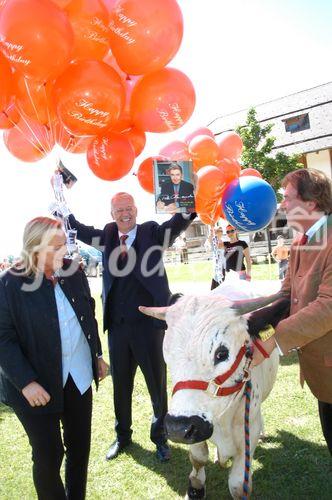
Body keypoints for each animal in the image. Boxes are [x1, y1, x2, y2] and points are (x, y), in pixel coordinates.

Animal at [140, 282, 282, 500]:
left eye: (221, 353)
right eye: (167, 353)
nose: (178, 427)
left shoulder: (248, 433)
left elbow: (238, 485)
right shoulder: (196, 432)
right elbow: (198, 458)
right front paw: (195, 489)